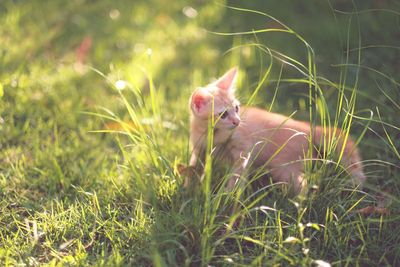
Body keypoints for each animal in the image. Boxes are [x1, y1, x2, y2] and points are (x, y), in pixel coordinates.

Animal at [188, 67, 366, 195]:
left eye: (237, 108)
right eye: (223, 114)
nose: (237, 122)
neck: (214, 135)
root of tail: (307, 127)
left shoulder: (244, 151)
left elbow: (237, 175)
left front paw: (228, 195)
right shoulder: (199, 150)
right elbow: (194, 168)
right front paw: (189, 189)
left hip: (283, 167)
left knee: (304, 186)